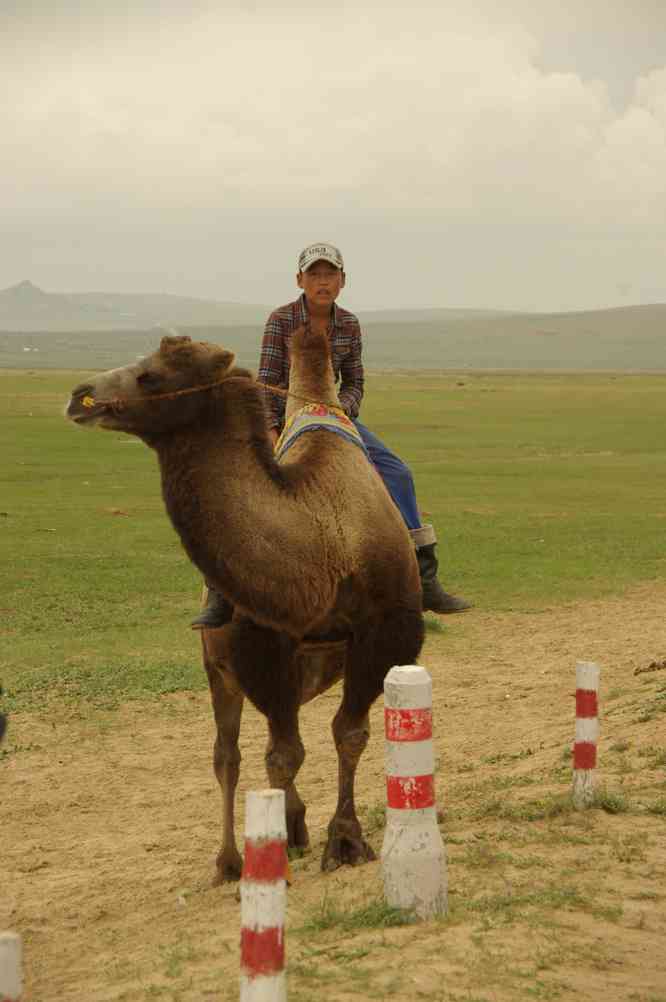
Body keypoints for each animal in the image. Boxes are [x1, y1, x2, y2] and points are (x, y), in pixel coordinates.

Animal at [66, 327, 424, 880]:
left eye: (152, 375)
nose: (81, 396)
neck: (322, 540)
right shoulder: (259, 644)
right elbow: (281, 754)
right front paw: (284, 845)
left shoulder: (384, 632)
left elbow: (348, 734)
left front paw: (345, 841)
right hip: (220, 666)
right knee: (228, 755)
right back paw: (233, 858)